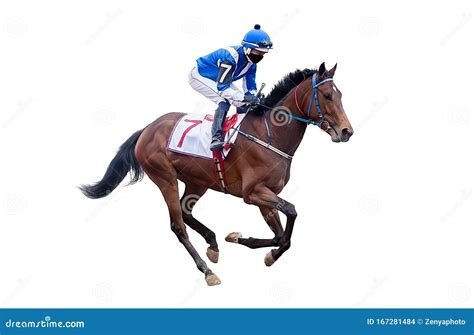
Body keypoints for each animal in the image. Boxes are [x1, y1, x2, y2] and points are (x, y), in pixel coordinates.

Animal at [79, 62, 354, 286]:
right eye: (327, 95)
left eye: (340, 94)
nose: (346, 131)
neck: (270, 135)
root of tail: (147, 128)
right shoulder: (253, 193)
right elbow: (292, 213)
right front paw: (266, 252)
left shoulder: (266, 196)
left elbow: (279, 236)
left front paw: (241, 240)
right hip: (165, 178)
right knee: (178, 225)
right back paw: (207, 271)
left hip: (197, 182)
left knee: (186, 213)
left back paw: (212, 243)